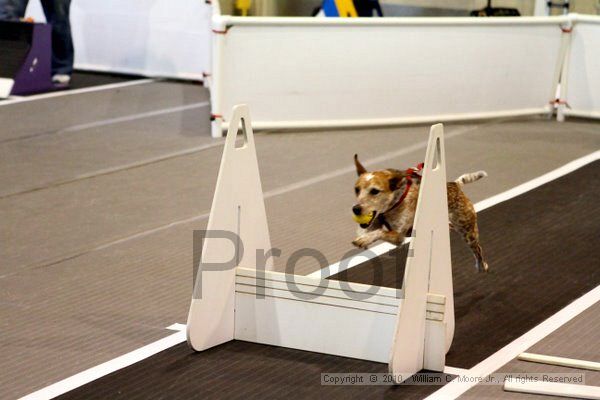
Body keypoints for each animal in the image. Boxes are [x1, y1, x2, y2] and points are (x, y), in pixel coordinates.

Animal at [352, 155, 488, 274]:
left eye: (375, 191)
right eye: (356, 189)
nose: (356, 209)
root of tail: (456, 184)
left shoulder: (398, 236)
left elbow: (379, 232)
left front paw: (364, 239)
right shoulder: (376, 222)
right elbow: (368, 230)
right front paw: (363, 237)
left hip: (468, 232)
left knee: (478, 249)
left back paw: (481, 266)